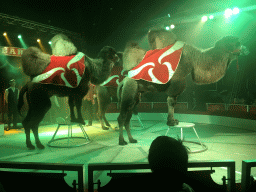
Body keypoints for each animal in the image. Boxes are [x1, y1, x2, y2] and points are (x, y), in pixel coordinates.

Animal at [117, 28, 245, 145]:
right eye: (235, 42)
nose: (243, 47)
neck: (195, 58)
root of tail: (124, 80)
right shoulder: (177, 81)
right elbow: (171, 101)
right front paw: (171, 122)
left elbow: (173, 101)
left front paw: (173, 121)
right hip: (129, 89)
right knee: (122, 117)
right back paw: (122, 141)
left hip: (136, 95)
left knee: (128, 117)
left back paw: (132, 139)